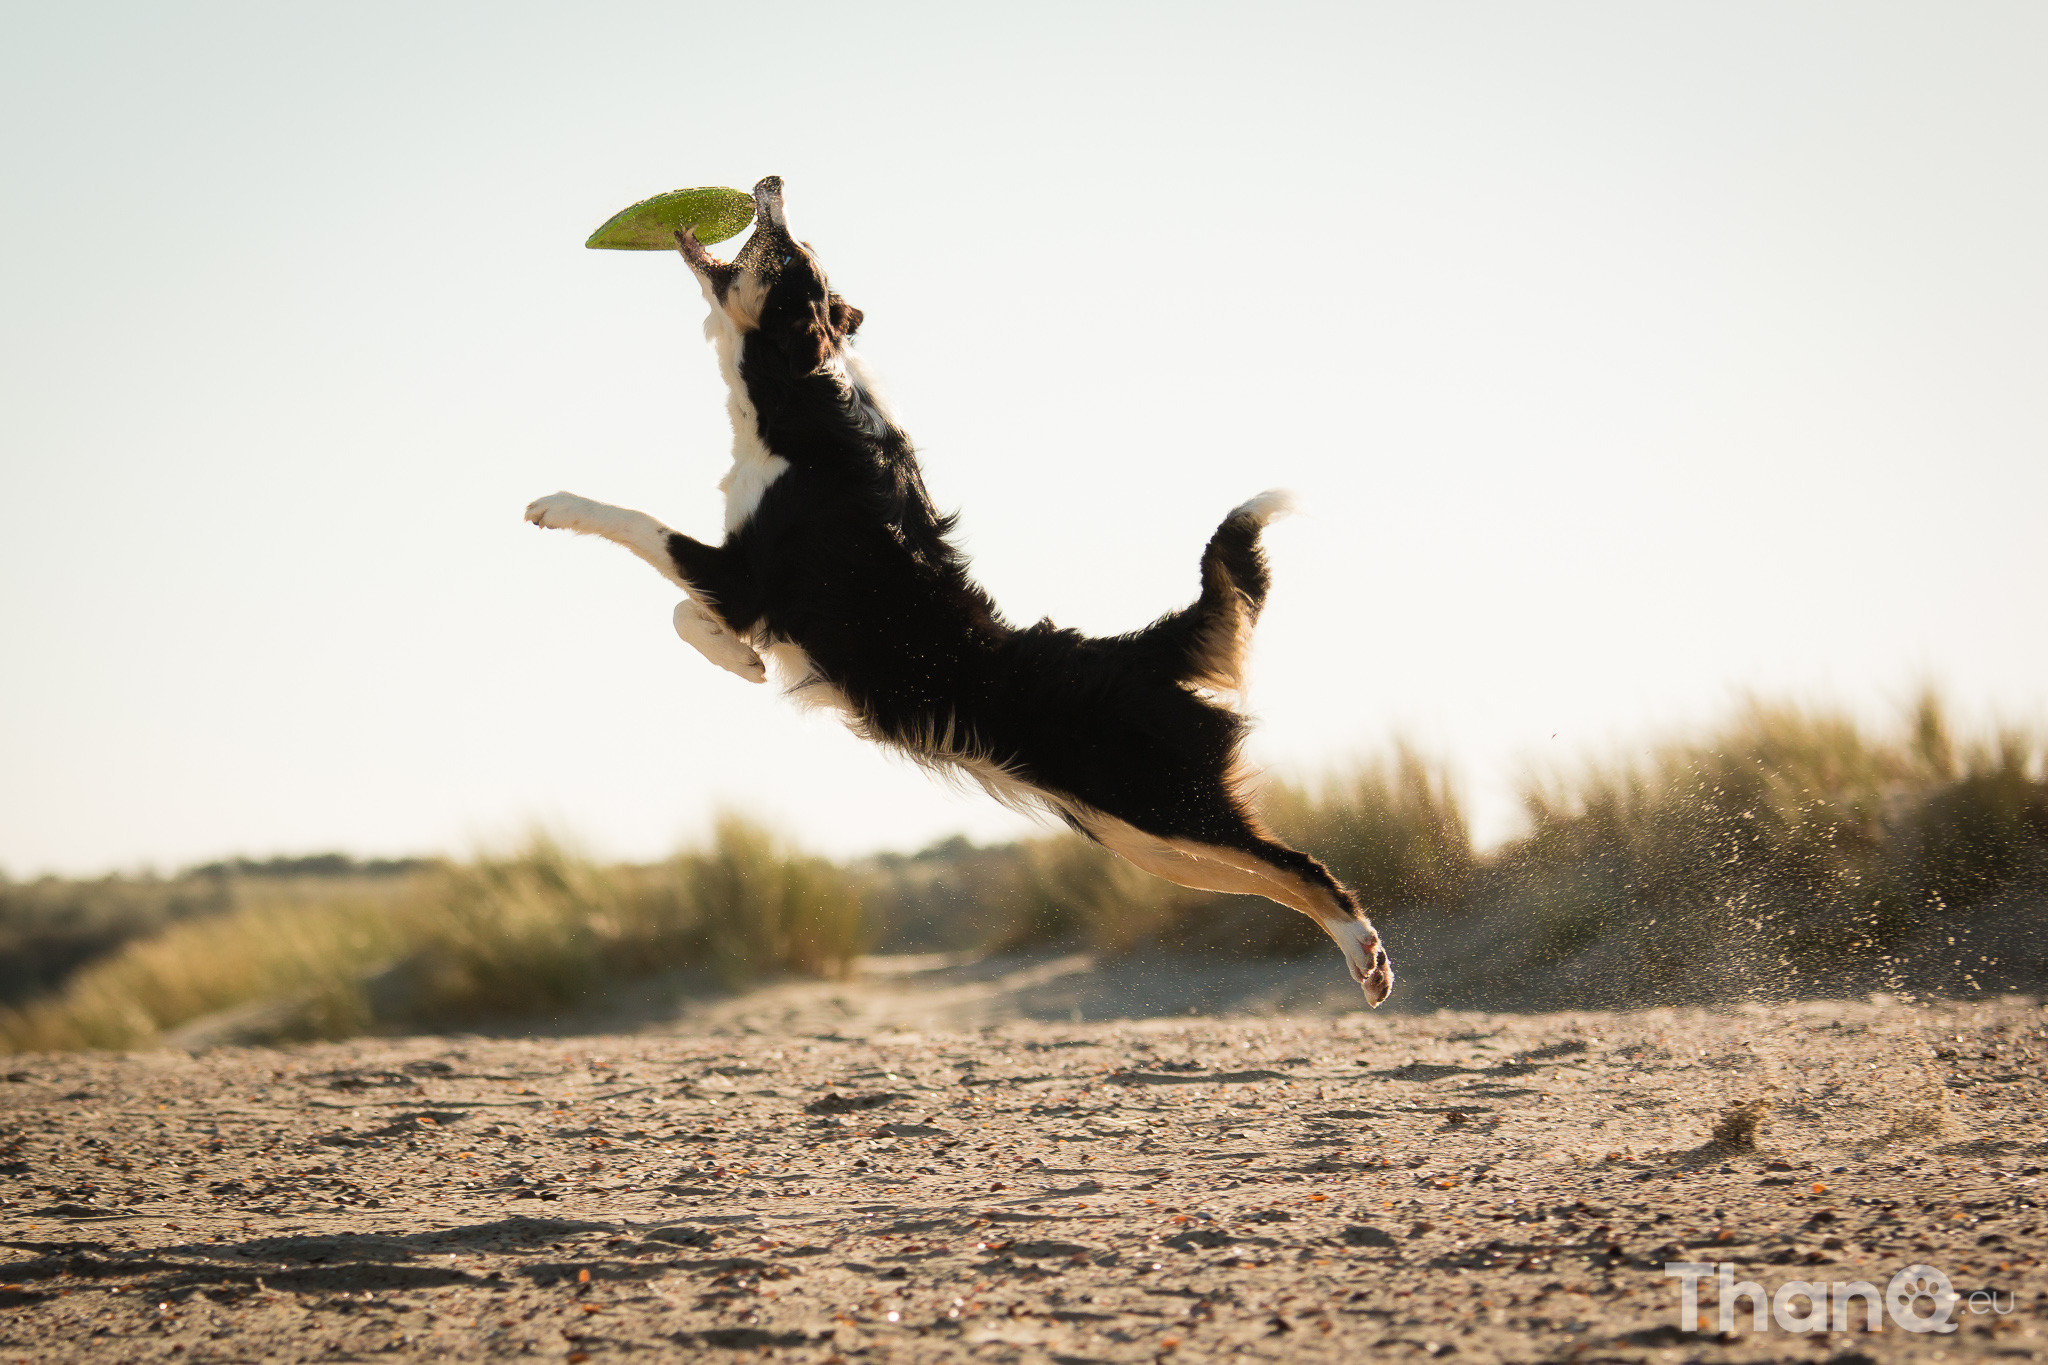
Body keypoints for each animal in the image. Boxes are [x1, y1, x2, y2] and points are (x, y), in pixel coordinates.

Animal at [528, 173, 1392, 1002]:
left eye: (788, 253)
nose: (770, 179)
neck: (797, 395)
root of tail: (1133, 653)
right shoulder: (743, 582)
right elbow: (686, 611)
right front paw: (738, 660)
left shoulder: (742, 574)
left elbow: (642, 534)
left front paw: (558, 508)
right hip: (1147, 837)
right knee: (1279, 876)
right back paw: (1367, 959)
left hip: (1164, 805)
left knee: (1301, 865)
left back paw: (1365, 951)